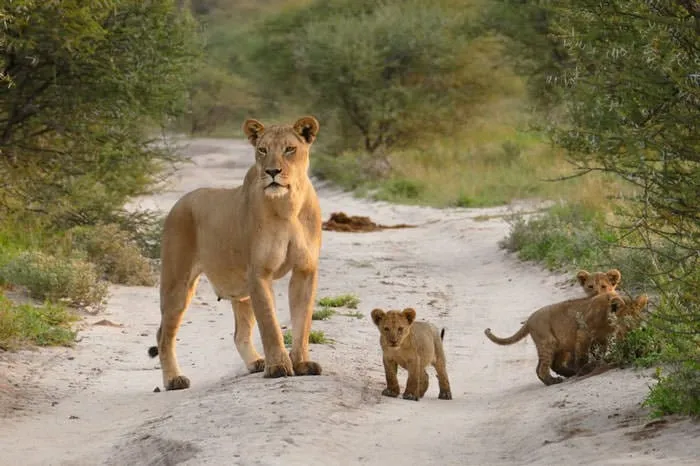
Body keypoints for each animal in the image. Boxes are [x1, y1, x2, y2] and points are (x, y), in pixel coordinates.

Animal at [147, 116, 323, 390]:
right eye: (262, 150)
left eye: (289, 149)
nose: (272, 172)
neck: (288, 205)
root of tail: (179, 202)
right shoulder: (259, 273)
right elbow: (270, 324)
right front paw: (278, 367)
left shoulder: (305, 270)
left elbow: (302, 322)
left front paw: (302, 363)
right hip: (177, 283)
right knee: (163, 333)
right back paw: (174, 379)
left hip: (241, 290)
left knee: (239, 333)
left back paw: (256, 362)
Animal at [484, 291, 648, 386]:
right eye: (627, 322)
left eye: (639, 320)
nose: (637, 331)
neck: (607, 322)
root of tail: (529, 320)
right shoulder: (583, 333)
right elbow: (582, 355)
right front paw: (584, 369)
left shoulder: (602, 339)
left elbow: (600, 352)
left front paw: (597, 363)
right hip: (548, 342)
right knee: (542, 368)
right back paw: (553, 381)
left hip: (561, 346)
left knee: (552, 365)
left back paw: (567, 374)